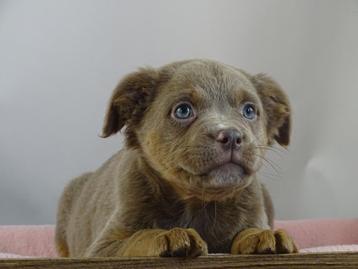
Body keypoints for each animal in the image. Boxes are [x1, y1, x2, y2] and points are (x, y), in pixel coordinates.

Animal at [55, 58, 296, 255]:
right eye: (183, 110)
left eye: (249, 111)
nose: (232, 136)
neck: (199, 203)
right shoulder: (103, 247)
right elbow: (138, 237)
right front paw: (168, 234)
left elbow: (247, 230)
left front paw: (260, 235)